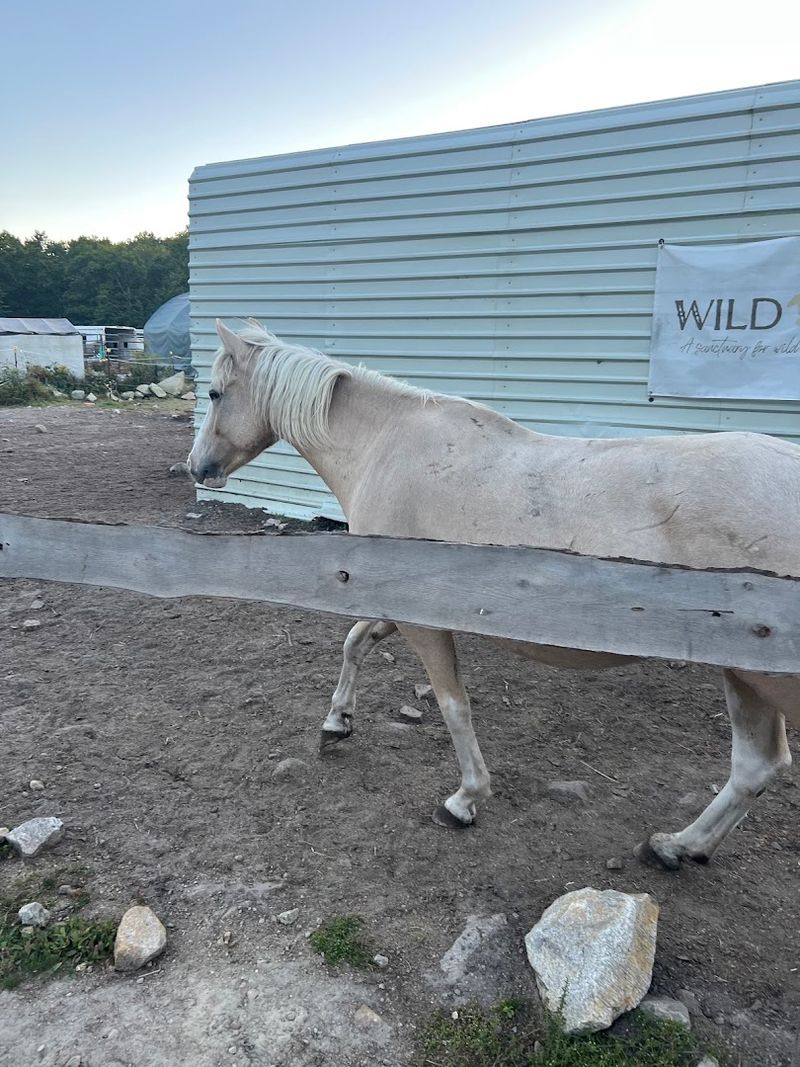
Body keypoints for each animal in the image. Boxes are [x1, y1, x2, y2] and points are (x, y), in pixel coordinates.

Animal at [189, 319, 799, 870]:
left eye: (216, 392)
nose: (197, 468)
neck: (388, 448)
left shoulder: (425, 622)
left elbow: (453, 705)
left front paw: (465, 799)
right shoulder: (396, 603)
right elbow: (356, 641)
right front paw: (338, 721)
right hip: (743, 673)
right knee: (756, 767)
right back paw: (679, 846)